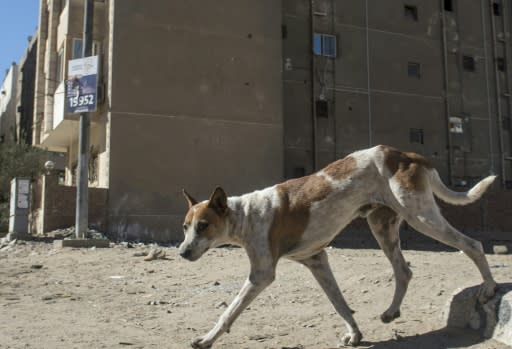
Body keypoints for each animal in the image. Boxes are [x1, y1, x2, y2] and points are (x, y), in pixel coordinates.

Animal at [179, 143, 496, 346]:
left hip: (420, 217)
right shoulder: (317, 260)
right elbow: (340, 303)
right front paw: (355, 335)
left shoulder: (261, 275)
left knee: (473, 245)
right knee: (404, 271)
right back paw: (391, 312)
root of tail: (405, 154)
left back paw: (490, 288)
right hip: (383, 227)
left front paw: (206, 340)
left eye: (203, 225)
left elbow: (229, 311)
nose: (182, 253)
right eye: (185, 227)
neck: (245, 214)